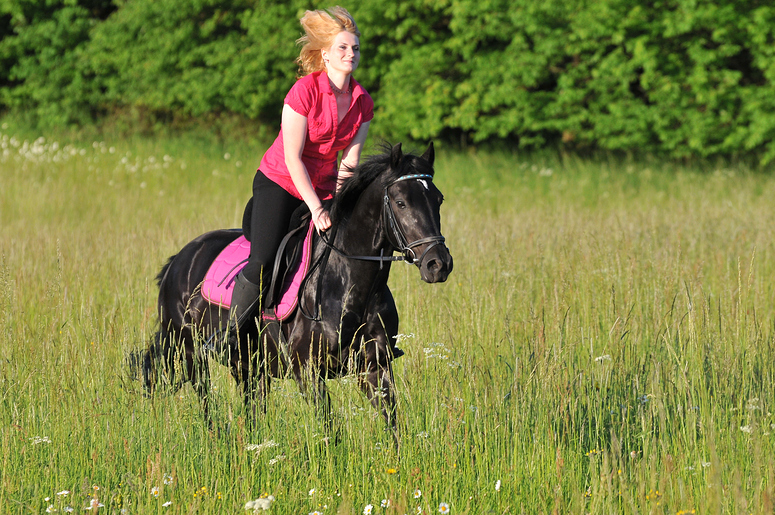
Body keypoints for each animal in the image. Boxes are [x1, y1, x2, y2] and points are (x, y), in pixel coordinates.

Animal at [130, 143, 452, 438]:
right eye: (400, 202)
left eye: (438, 200)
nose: (438, 264)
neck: (349, 286)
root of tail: (178, 261)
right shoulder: (307, 372)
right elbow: (330, 431)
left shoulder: (376, 367)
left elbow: (392, 426)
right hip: (188, 351)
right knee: (206, 400)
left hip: (248, 366)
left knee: (252, 407)